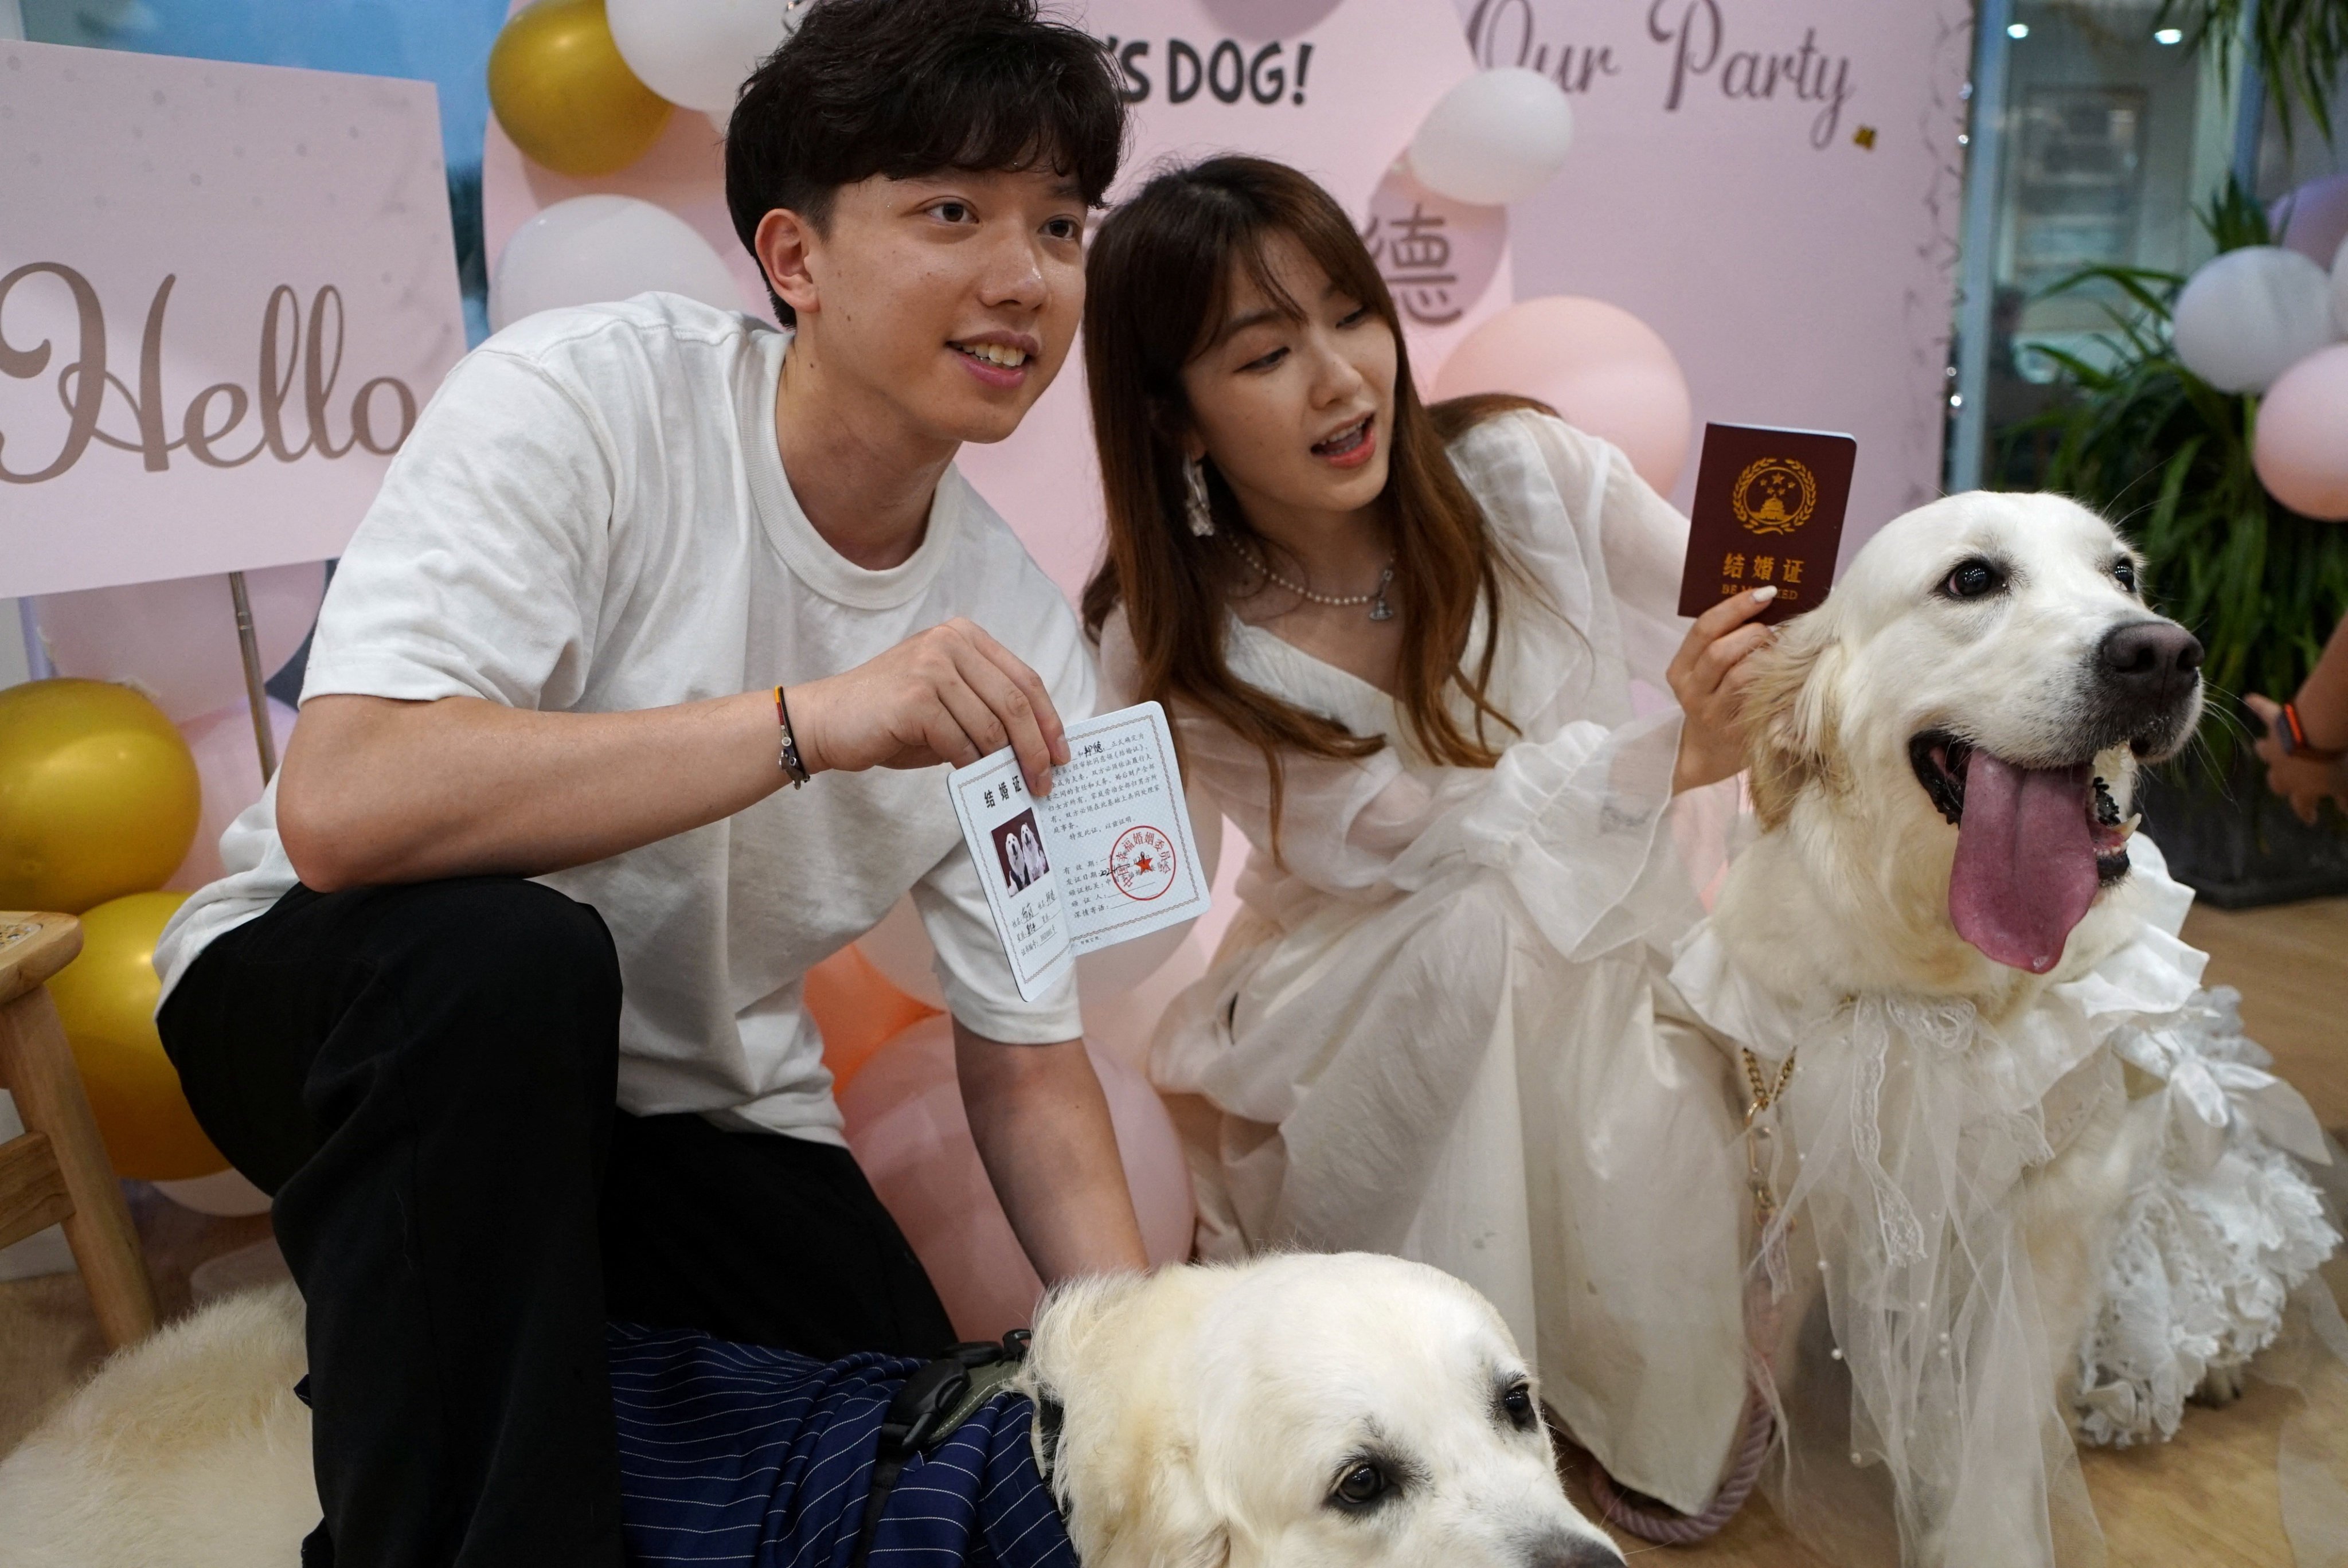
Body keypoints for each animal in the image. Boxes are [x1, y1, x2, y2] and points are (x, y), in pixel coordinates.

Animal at [1671, 492, 2329, 1568]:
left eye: (2122, 575)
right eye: (1972, 579)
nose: (2161, 652)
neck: (1936, 989)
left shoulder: (2063, 1205)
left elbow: (2005, 1420)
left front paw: (1983, 1535)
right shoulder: (1801, 1150)